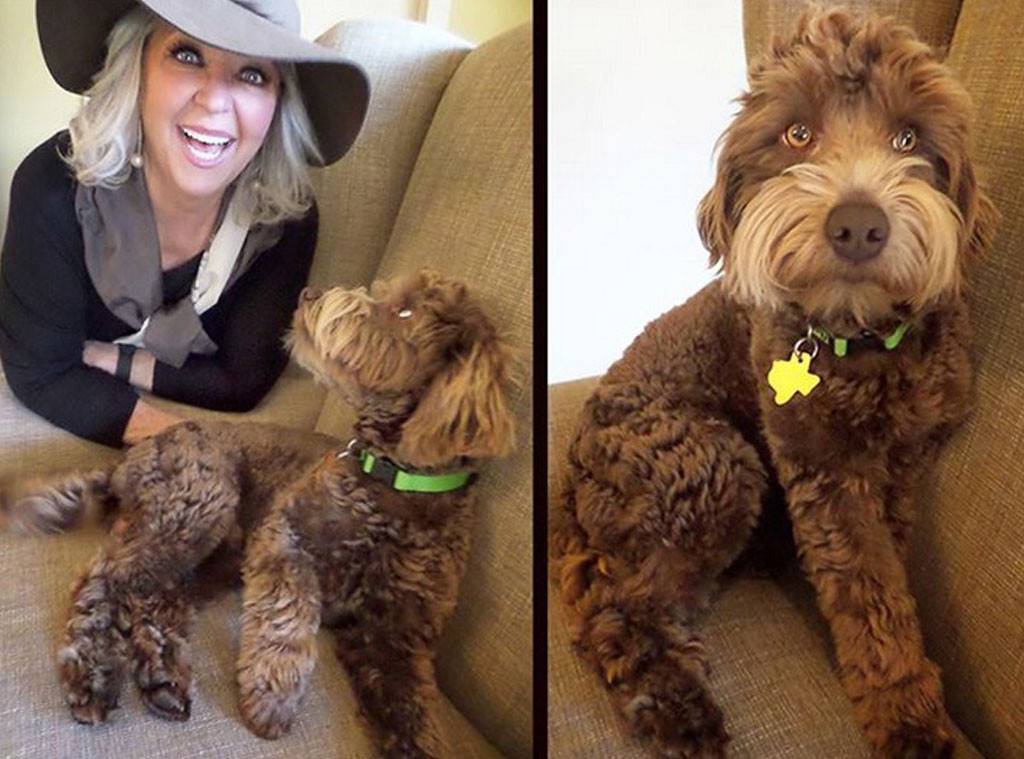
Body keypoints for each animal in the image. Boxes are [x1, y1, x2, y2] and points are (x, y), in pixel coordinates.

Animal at [557, 7, 995, 757]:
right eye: (798, 134)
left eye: (908, 137)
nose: (858, 225)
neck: (856, 338)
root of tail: (575, 466)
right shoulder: (820, 465)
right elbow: (866, 586)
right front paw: (907, 718)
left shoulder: (903, 455)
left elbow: (883, 574)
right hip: (711, 463)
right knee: (616, 603)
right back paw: (677, 706)